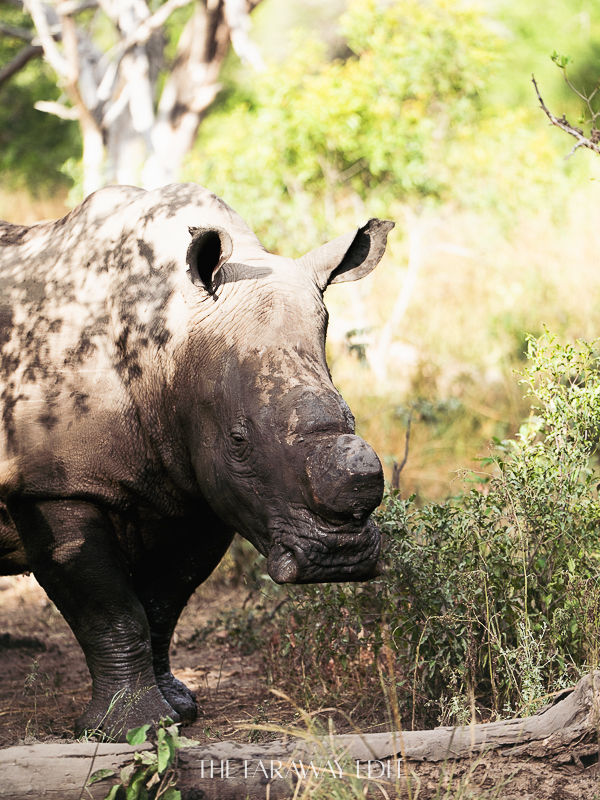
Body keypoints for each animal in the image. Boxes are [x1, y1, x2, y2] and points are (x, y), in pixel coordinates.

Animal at [0, 183, 393, 739]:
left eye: (351, 416)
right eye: (238, 441)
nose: (340, 558)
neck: (171, 344)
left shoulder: (198, 488)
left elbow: (163, 603)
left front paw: (180, 711)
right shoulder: (52, 480)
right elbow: (110, 608)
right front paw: (128, 731)